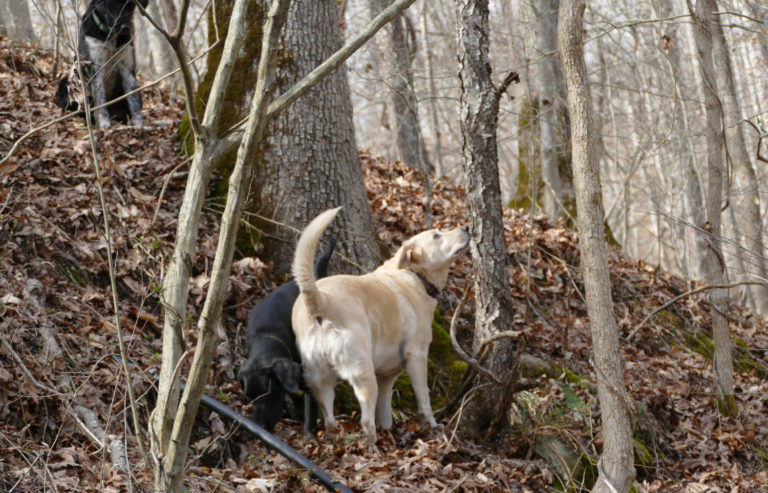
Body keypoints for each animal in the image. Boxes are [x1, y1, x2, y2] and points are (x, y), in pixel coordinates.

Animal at [292, 208, 468, 446]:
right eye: (436, 236)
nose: (466, 227)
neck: (414, 275)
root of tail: (320, 301)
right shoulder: (417, 357)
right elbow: (424, 400)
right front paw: (432, 428)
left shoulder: (387, 377)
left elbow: (385, 414)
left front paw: (389, 432)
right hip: (364, 374)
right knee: (366, 421)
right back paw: (372, 447)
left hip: (319, 381)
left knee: (330, 420)